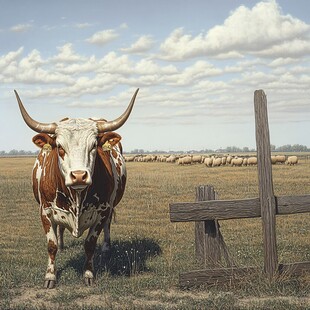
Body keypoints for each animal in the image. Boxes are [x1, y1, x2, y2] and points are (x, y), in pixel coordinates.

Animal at [14, 89, 138, 288]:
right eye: (59, 146)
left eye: (94, 146)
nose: (79, 175)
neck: (77, 197)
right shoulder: (45, 211)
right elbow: (52, 245)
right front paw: (50, 276)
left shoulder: (102, 211)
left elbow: (90, 244)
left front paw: (88, 274)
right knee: (60, 230)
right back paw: (63, 245)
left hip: (110, 208)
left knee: (108, 226)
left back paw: (106, 249)